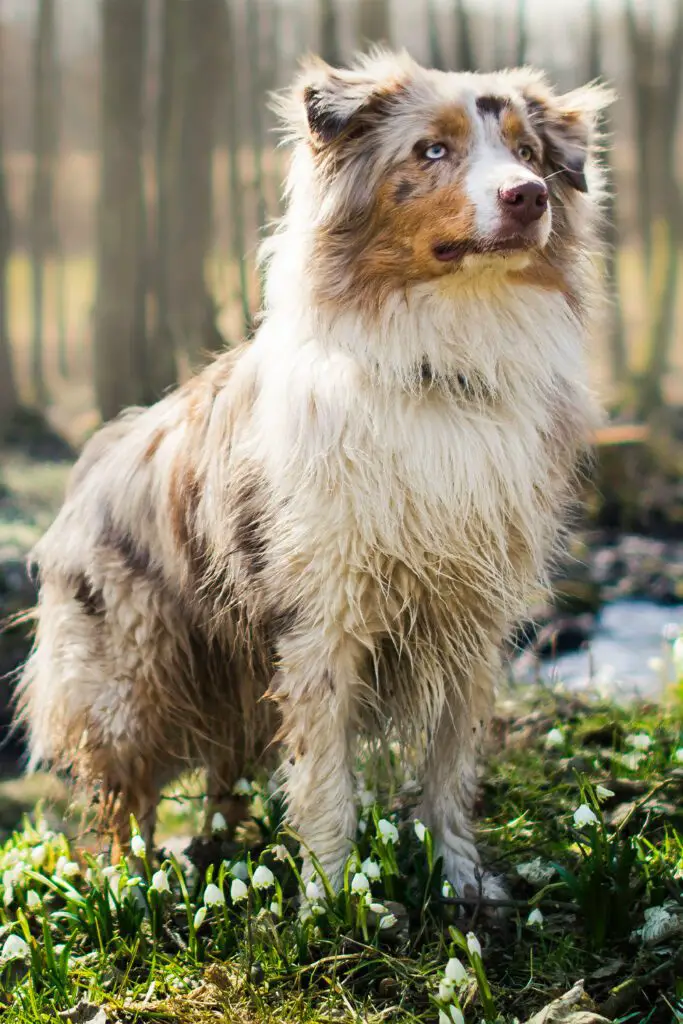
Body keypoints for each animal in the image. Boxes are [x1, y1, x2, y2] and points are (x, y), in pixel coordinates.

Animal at [18, 49, 610, 897]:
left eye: (527, 152)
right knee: (121, 799)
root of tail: (92, 459)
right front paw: (332, 896)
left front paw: (461, 879)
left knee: (227, 774)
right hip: (132, 675)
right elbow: (326, 777)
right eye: (431, 150)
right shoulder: (322, 618)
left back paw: (221, 853)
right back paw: (130, 888)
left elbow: (450, 763)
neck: (441, 361)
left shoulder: (472, 615)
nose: (526, 196)